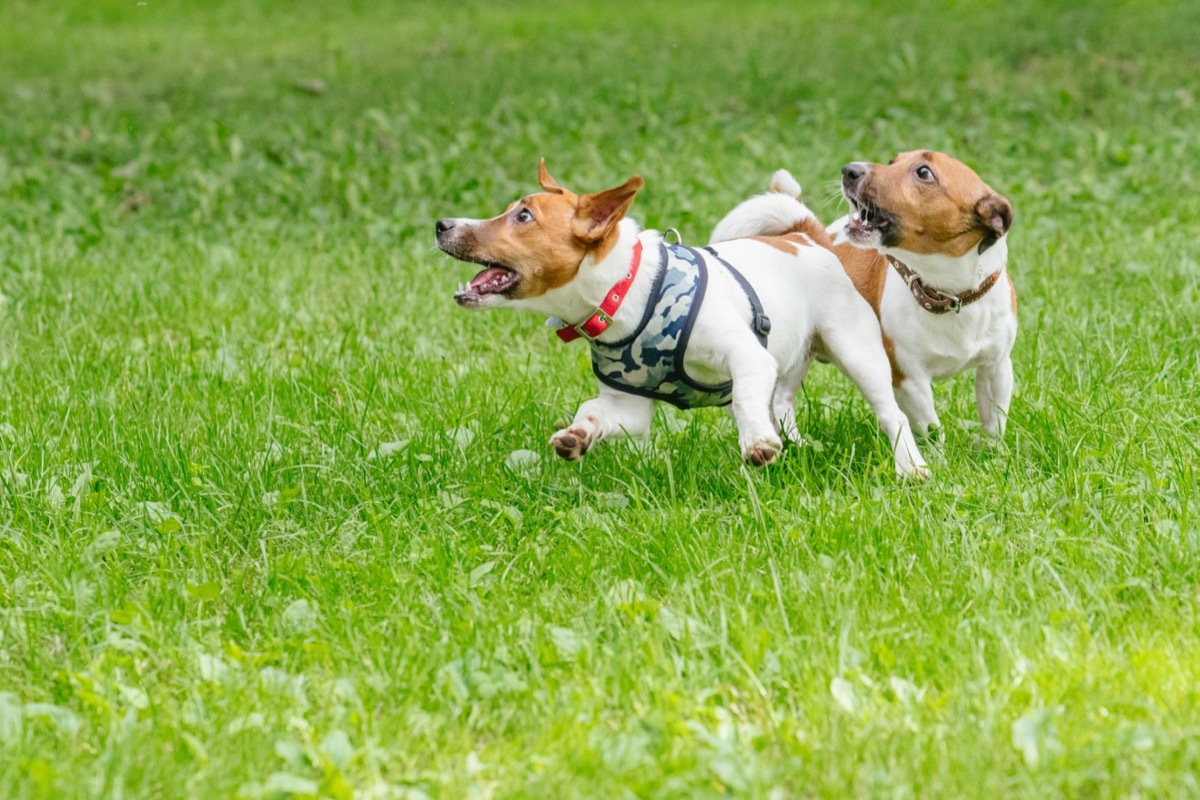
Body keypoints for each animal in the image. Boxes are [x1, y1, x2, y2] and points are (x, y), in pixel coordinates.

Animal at [436, 159, 931, 479]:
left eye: (523, 216)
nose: (441, 224)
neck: (628, 290)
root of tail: (805, 237)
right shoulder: (628, 407)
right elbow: (593, 410)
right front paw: (578, 434)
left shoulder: (748, 358)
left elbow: (743, 401)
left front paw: (756, 441)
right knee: (782, 402)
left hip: (856, 351)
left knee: (892, 415)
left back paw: (911, 467)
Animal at [715, 151, 1017, 443]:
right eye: (893, 161)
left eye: (924, 172)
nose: (850, 169)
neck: (949, 296)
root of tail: (806, 234)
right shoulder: (909, 381)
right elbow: (932, 430)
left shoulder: (997, 367)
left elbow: (994, 423)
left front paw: (992, 453)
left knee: (781, 399)